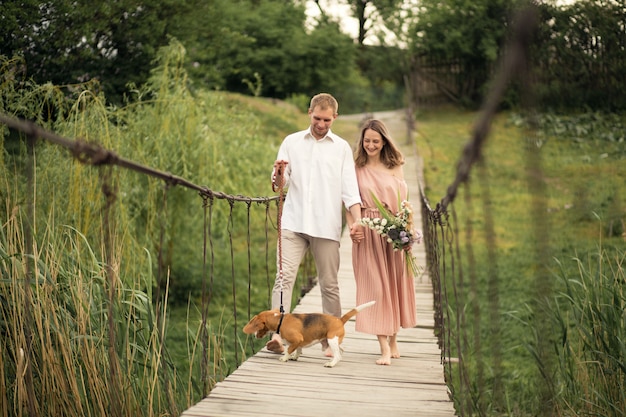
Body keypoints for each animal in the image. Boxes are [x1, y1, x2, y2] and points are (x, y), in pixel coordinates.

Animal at [241, 300, 372, 366]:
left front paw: (285, 358)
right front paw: (294, 357)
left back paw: (331, 364)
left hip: (331, 340)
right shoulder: (299, 342)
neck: (280, 320)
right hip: (333, 340)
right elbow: (297, 350)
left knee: (338, 355)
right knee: (341, 351)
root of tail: (339, 320)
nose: (254, 335)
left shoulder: (297, 339)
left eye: (257, 328)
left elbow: (289, 350)